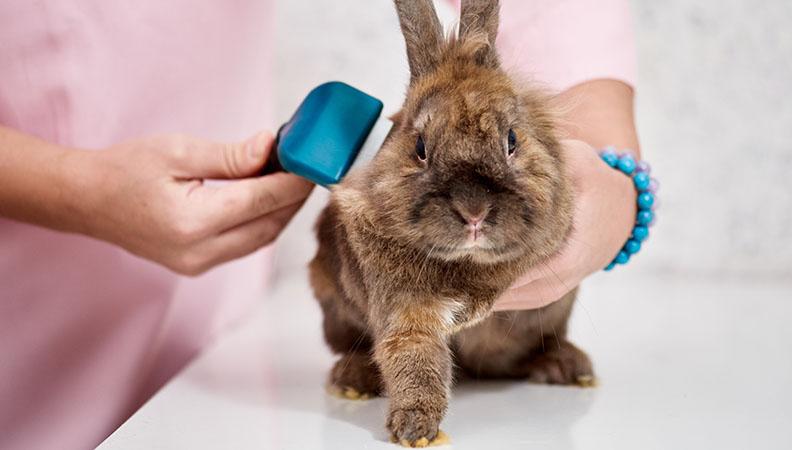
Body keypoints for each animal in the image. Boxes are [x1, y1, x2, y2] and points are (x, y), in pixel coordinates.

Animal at [309, 0, 594, 446]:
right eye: (420, 147)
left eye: (512, 140)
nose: (473, 211)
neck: (468, 261)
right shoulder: (406, 312)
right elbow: (413, 357)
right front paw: (415, 429)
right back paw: (352, 380)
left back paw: (568, 366)